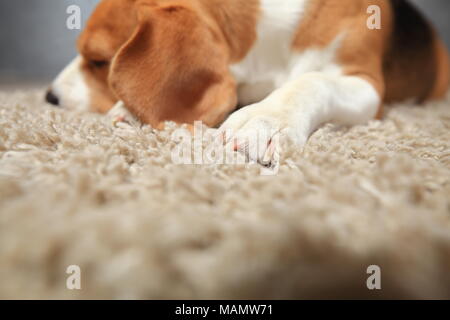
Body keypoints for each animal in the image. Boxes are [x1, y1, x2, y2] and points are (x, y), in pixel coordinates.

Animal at [47, 0, 448, 164]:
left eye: (99, 61)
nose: (49, 97)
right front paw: (130, 110)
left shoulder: (366, 84)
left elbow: (314, 80)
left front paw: (266, 119)